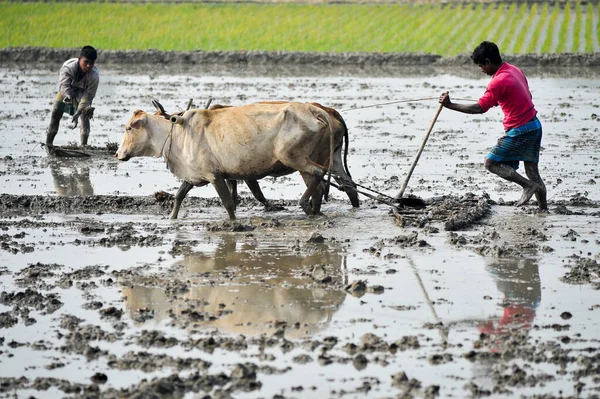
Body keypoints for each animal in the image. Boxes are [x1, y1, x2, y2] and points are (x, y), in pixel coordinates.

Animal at [118, 100, 360, 219]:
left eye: (129, 128)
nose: (117, 154)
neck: (178, 131)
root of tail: (319, 111)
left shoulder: (215, 175)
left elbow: (228, 202)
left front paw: (234, 224)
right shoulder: (196, 174)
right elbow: (179, 196)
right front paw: (171, 218)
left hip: (297, 158)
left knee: (318, 178)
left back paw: (306, 207)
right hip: (330, 158)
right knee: (344, 184)